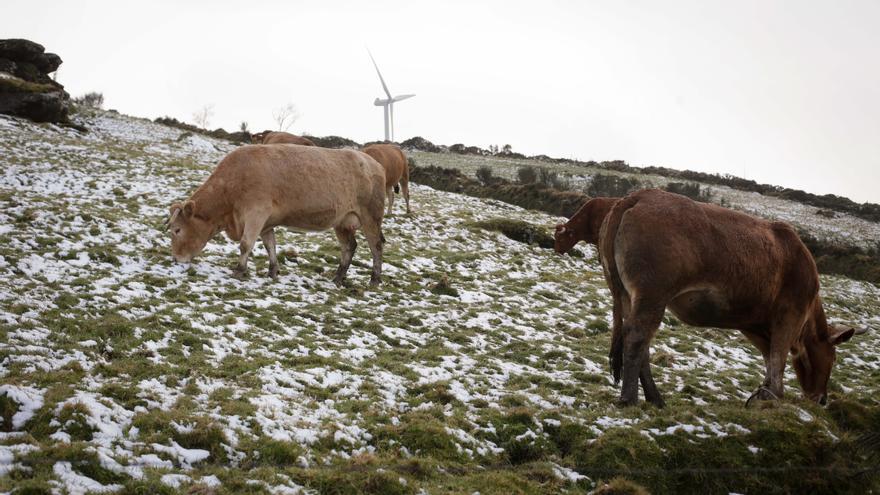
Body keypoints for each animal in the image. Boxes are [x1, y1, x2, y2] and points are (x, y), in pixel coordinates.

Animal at [168, 143, 384, 286]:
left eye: (177, 230)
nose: (176, 258)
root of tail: (373, 162)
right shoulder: (266, 222)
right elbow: (270, 245)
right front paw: (272, 271)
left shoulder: (256, 213)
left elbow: (246, 243)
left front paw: (239, 270)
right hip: (343, 220)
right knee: (349, 246)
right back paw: (338, 278)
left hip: (370, 216)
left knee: (376, 245)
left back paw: (374, 280)